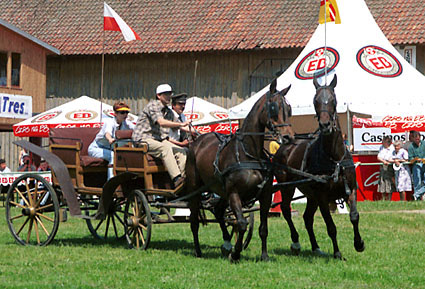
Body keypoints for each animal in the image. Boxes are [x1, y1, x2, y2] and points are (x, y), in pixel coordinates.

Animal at [187, 79, 294, 260]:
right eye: (273, 108)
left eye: (289, 108)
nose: (288, 137)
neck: (249, 154)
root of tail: (197, 142)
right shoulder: (234, 193)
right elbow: (242, 223)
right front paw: (236, 253)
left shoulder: (265, 195)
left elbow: (263, 228)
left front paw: (264, 256)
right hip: (196, 190)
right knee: (194, 221)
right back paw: (198, 251)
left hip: (221, 190)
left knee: (219, 211)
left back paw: (226, 243)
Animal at [274, 74, 362, 258]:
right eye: (315, 101)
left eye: (334, 100)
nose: (325, 125)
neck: (335, 159)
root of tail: (284, 146)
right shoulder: (322, 197)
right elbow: (331, 227)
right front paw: (337, 253)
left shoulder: (351, 189)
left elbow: (354, 216)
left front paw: (359, 243)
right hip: (288, 187)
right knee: (286, 209)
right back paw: (296, 242)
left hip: (310, 195)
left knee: (307, 218)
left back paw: (315, 247)